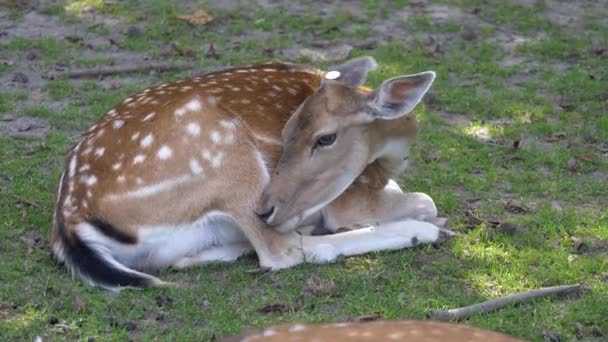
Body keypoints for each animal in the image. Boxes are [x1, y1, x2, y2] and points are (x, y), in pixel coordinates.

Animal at [51, 56, 452, 292]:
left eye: (324, 138)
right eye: (286, 130)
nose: (273, 208)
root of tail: (71, 225)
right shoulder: (352, 195)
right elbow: (425, 200)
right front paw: (428, 222)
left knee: (185, 258)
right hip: (231, 158)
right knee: (280, 252)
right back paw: (424, 232)